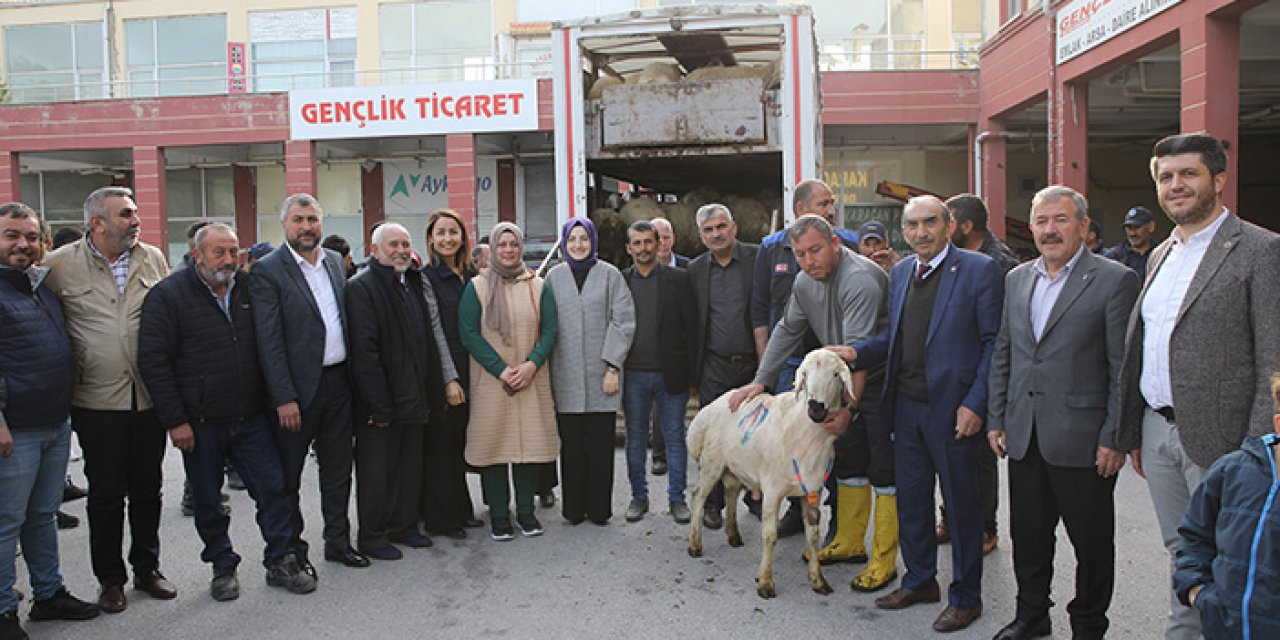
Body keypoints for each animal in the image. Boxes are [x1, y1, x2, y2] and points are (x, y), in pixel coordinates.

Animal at [686, 348, 855, 596]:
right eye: (805, 374)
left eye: (835, 374)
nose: (816, 408)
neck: (802, 430)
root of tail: (712, 405)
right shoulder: (773, 491)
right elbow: (770, 536)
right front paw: (765, 582)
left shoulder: (812, 490)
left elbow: (813, 537)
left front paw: (818, 580)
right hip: (711, 462)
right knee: (698, 496)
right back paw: (695, 545)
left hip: (734, 465)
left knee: (731, 493)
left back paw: (733, 535)